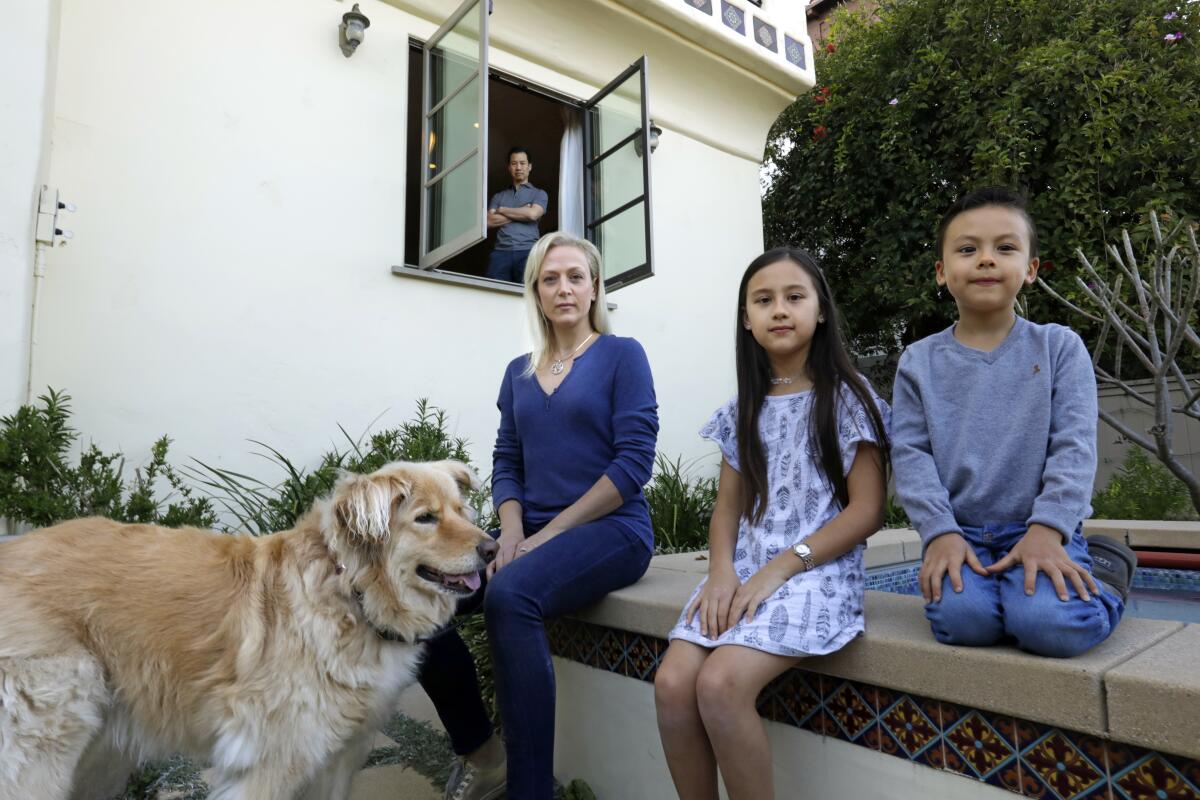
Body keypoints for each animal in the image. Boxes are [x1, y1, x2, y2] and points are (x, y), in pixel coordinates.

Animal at [0, 460, 496, 796]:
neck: (348, 594)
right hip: (48, 744)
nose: (493, 549)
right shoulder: (271, 761)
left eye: (461, 510)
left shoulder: (340, 757)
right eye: (426, 518)